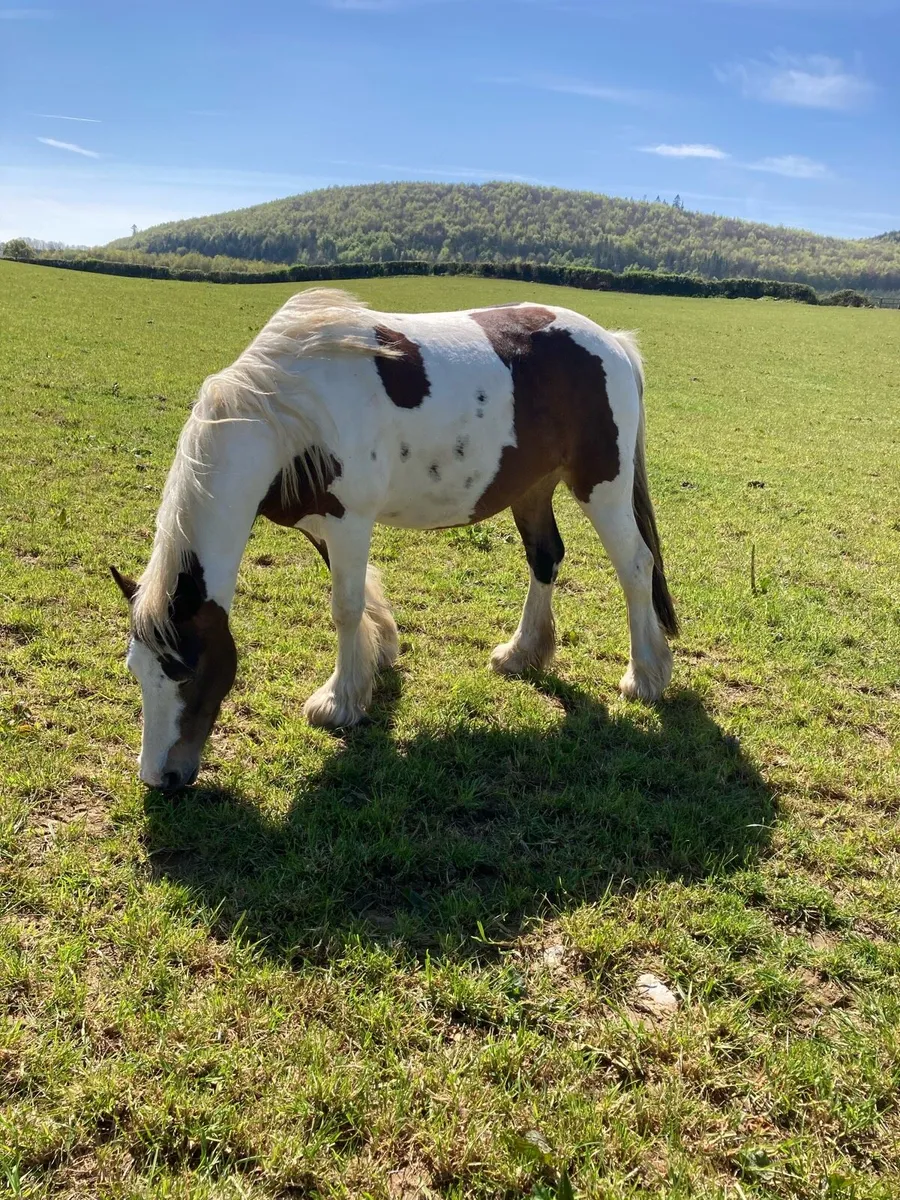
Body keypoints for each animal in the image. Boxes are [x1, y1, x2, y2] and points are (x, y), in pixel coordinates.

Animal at [111, 288, 678, 791]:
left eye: (185, 672)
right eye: (136, 671)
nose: (159, 778)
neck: (287, 412)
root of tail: (612, 342)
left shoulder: (349, 519)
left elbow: (344, 607)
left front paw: (337, 702)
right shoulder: (321, 522)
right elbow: (362, 599)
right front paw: (377, 656)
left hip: (601, 485)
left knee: (635, 566)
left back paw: (645, 677)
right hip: (533, 486)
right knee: (545, 558)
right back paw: (521, 654)